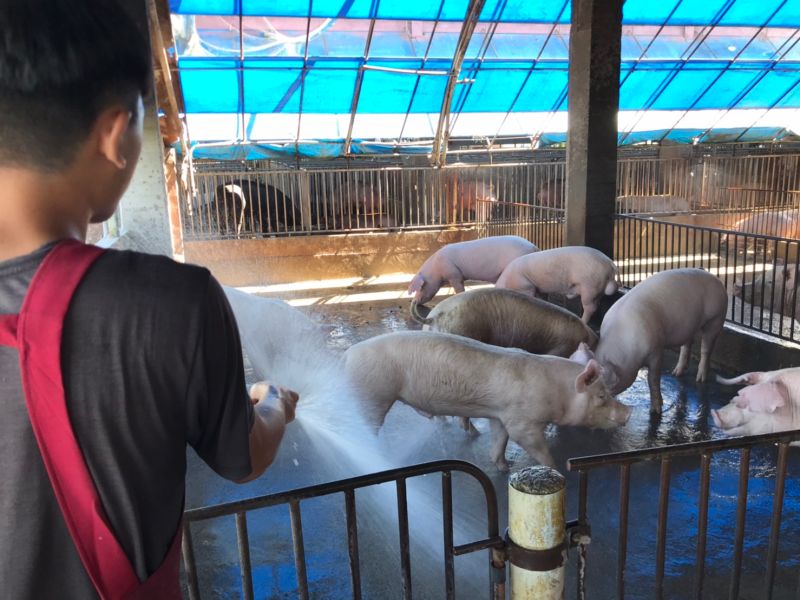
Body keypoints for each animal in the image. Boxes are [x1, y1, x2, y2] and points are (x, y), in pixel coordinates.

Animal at [346, 330, 632, 472]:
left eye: (607, 392)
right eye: (601, 396)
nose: (628, 412)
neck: (557, 391)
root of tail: (347, 356)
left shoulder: (501, 415)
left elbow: (499, 441)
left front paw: (505, 466)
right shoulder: (523, 422)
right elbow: (532, 445)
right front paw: (556, 468)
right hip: (373, 393)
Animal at [406, 236, 536, 304]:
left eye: (421, 287)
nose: (414, 301)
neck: (436, 268)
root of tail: (534, 247)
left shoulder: (453, 273)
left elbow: (459, 287)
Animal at [572, 270, 728, 414]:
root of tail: (716, 280)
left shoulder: (656, 350)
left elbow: (652, 379)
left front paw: (656, 410)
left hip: (716, 318)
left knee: (706, 348)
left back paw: (700, 379)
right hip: (689, 326)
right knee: (687, 344)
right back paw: (676, 373)